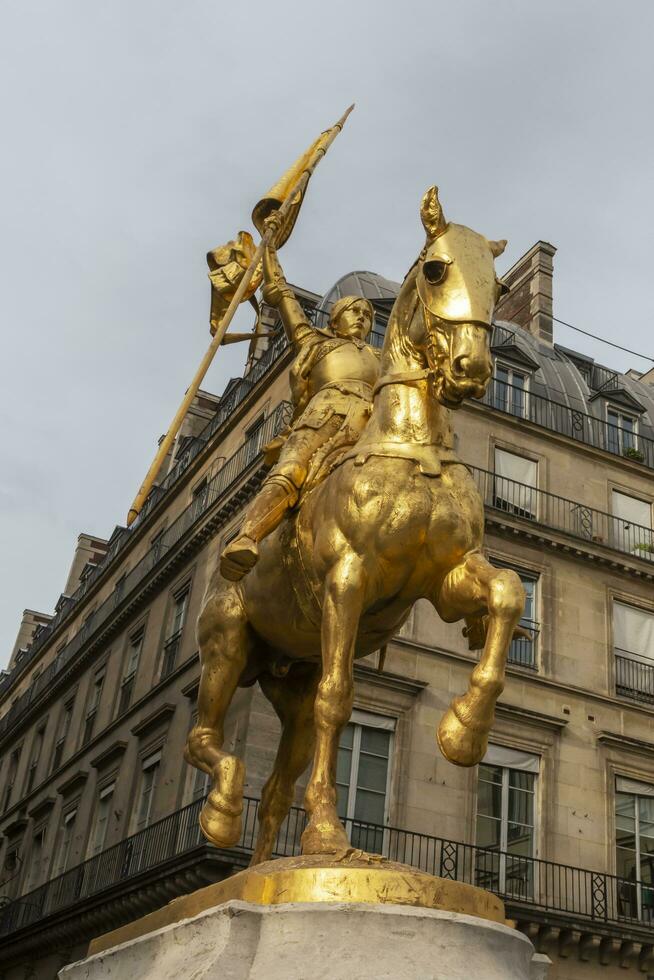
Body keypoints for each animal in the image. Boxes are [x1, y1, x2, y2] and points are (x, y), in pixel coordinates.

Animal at [187, 189, 524, 864]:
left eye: (499, 286)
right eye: (435, 269)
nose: (472, 370)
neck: (411, 447)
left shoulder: (446, 579)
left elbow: (508, 592)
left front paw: (464, 732)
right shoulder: (348, 578)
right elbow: (339, 699)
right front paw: (327, 833)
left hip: (289, 680)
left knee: (276, 790)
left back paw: (265, 865)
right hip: (227, 645)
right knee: (204, 738)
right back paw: (221, 813)